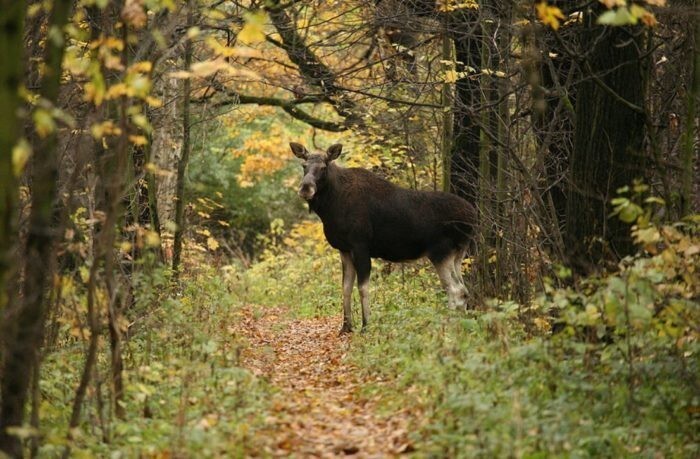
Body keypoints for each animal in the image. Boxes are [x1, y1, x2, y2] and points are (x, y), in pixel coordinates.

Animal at [288, 142, 476, 332]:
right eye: (304, 165)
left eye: (323, 167)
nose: (305, 188)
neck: (330, 207)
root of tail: (473, 218)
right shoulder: (344, 249)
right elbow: (345, 287)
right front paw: (346, 327)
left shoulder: (360, 245)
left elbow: (363, 288)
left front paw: (365, 326)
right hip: (458, 254)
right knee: (464, 291)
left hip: (440, 252)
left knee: (456, 291)